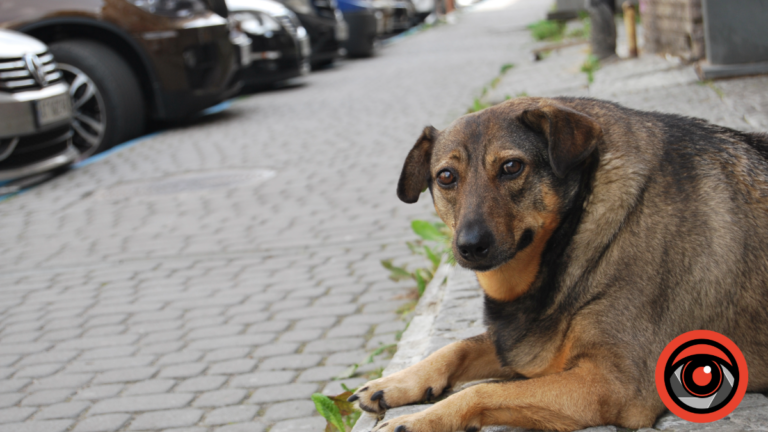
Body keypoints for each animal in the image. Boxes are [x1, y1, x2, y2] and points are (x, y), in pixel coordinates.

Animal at [348, 98, 768, 432]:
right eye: (446, 177)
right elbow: (458, 347)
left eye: (512, 167)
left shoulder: (613, 385)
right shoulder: (529, 342)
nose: (469, 246)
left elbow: (482, 392)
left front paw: (419, 420)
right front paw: (395, 382)